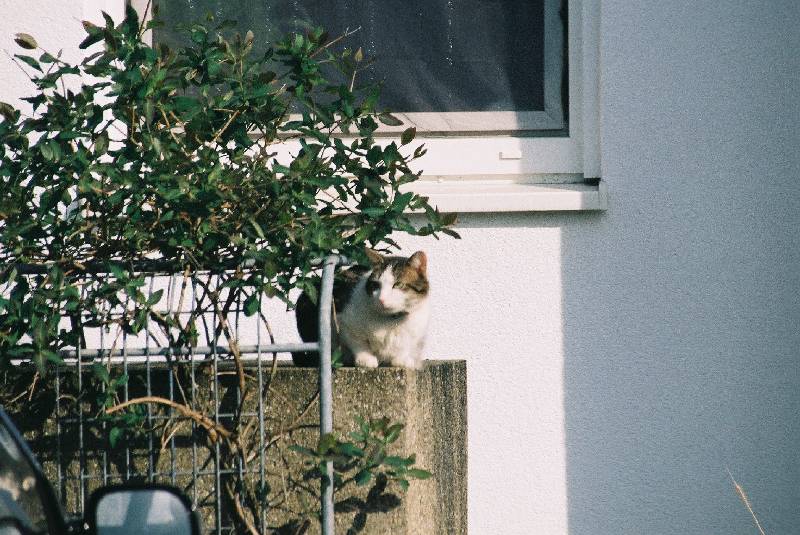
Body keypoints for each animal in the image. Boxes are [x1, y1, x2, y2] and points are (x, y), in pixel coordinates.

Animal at [293, 249, 430, 369]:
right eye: (376, 285)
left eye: (398, 284)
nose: (382, 299)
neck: (390, 320)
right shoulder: (344, 323)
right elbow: (358, 343)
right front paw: (365, 359)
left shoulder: (416, 332)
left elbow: (405, 346)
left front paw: (402, 359)